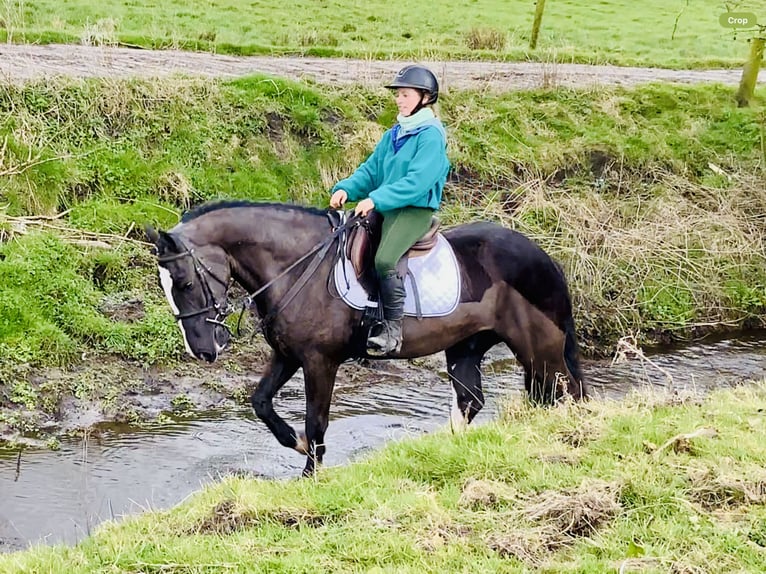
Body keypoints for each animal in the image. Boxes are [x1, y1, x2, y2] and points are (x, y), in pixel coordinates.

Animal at [146, 202, 588, 476]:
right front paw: (296, 444)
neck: (298, 266)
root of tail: (543, 257)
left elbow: (317, 420)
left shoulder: (319, 361)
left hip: (539, 351)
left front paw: (310, 475)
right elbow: (261, 403)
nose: (204, 350)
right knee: (471, 400)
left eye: (185, 282)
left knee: (567, 393)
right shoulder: (288, 355)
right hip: (466, 347)